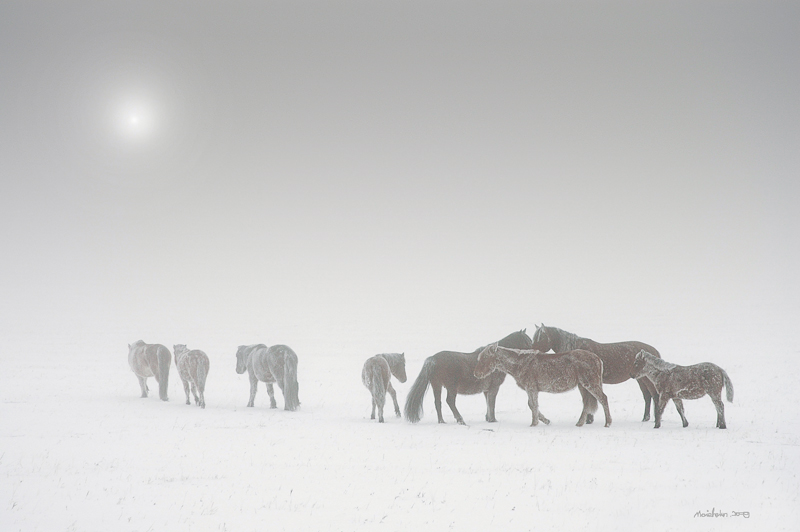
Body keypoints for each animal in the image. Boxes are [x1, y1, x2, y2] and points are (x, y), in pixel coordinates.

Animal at [406, 326, 536, 426]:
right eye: (527, 341)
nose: (534, 352)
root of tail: (433, 359)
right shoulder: (494, 387)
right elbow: (492, 403)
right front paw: (493, 420)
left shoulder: (486, 389)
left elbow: (488, 403)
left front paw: (488, 418)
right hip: (451, 387)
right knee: (450, 401)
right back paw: (460, 420)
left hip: (436, 385)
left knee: (438, 403)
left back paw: (442, 421)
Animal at [472, 344, 608, 428]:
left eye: (485, 357)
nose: (476, 373)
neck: (519, 364)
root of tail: (598, 359)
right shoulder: (533, 390)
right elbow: (532, 405)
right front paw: (546, 420)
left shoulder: (531, 388)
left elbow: (533, 405)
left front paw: (534, 423)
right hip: (582, 386)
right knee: (586, 404)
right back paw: (579, 423)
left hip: (590, 383)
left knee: (603, 399)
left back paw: (608, 423)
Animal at [536, 322, 672, 422]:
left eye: (541, 337)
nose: (533, 350)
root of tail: (653, 350)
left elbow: (588, 398)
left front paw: (588, 419)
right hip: (640, 379)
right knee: (647, 396)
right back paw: (645, 418)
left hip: (646, 379)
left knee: (654, 396)